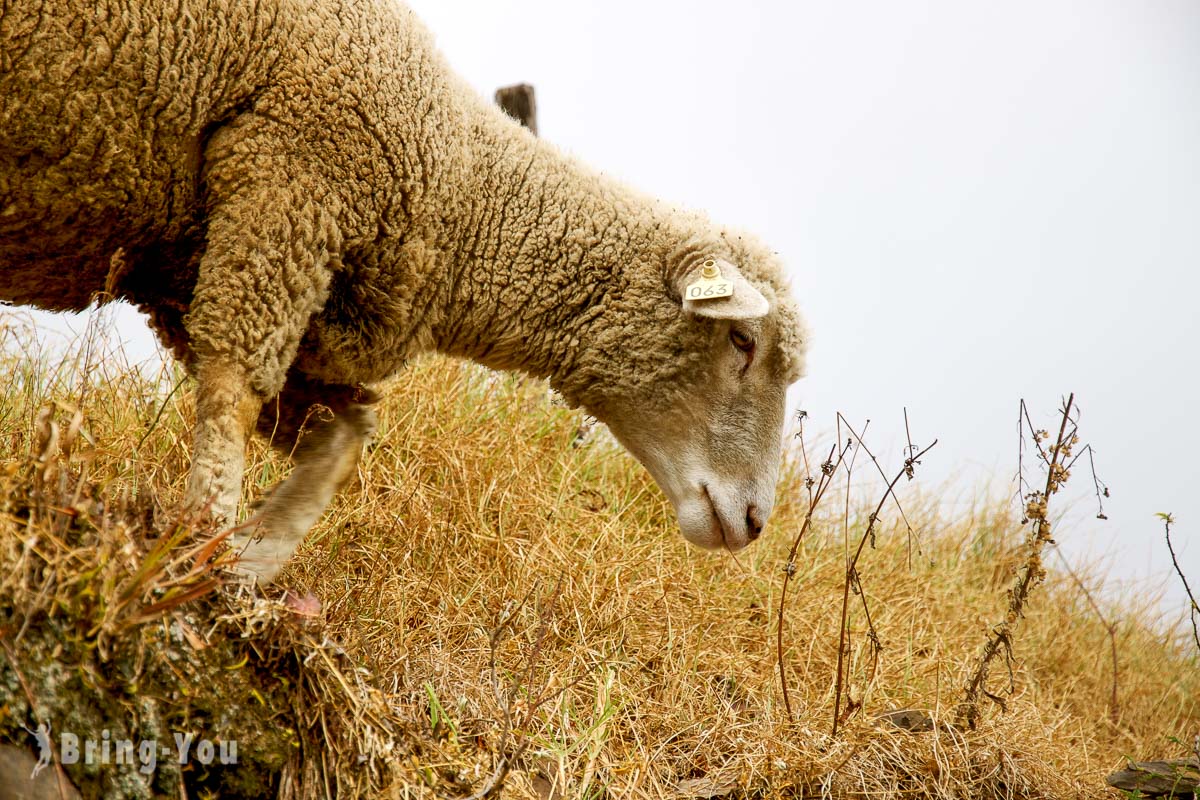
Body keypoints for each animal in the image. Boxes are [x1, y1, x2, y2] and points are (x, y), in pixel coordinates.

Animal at [0, 0, 811, 585]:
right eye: (742, 339)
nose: (753, 520)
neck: (463, 199)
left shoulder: (237, 281)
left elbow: (337, 436)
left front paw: (254, 559)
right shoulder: (288, 189)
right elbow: (234, 391)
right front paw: (197, 541)